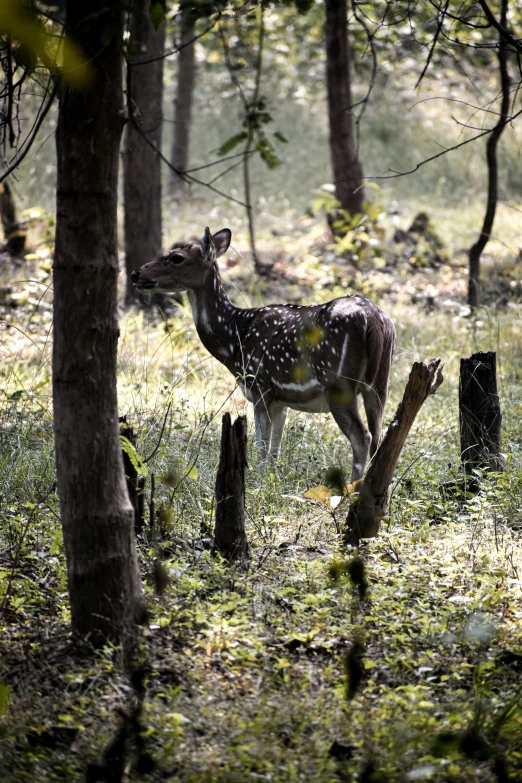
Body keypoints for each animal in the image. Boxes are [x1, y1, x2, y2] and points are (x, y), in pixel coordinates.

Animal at [131, 227, 394, 480]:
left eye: (177, 257)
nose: (136, 274)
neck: (234, 338)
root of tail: (373, 320)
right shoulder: (280, 400)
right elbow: (273, 454)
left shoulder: (259, 385)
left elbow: (261, 451)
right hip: (380, 383)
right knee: (379, 436)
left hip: (338, 382)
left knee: (363, 437)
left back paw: (352, 488)